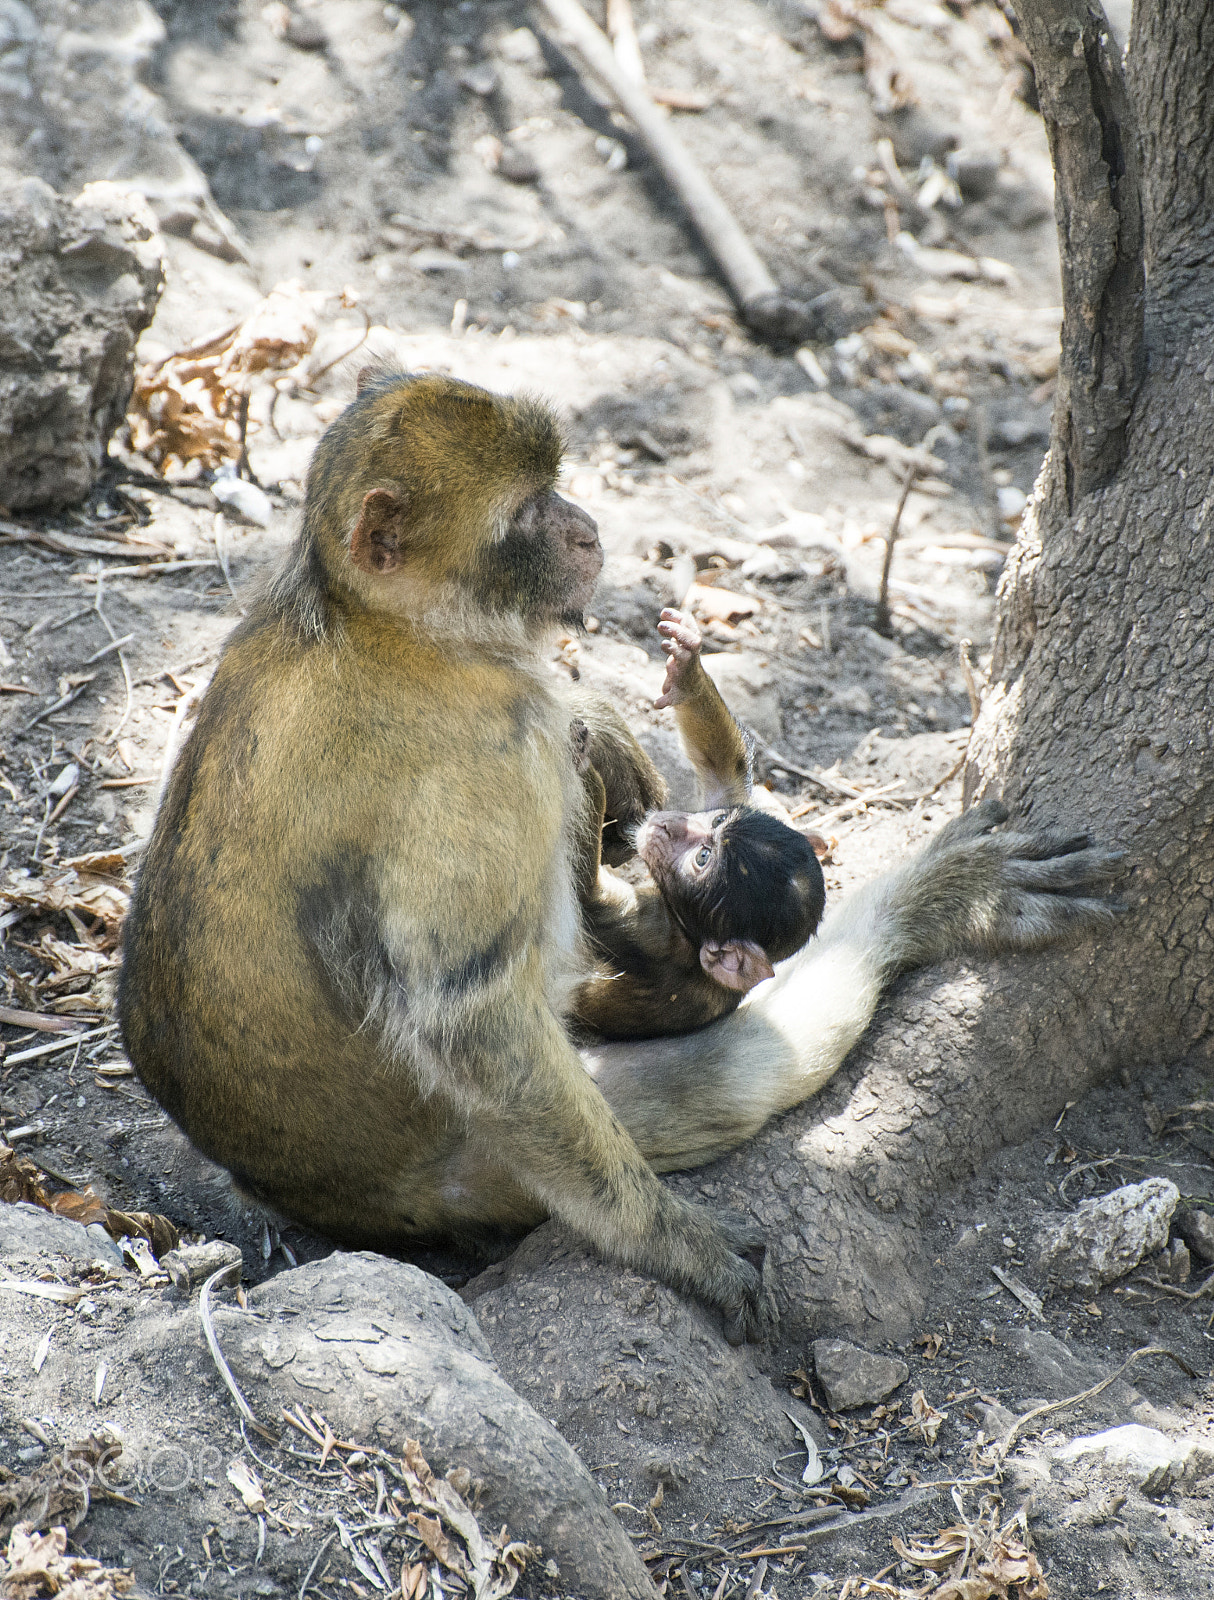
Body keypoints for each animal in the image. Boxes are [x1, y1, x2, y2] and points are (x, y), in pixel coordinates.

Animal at [569, 609, 826, 1039]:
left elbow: (588, 897)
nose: (673, 827)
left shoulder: (656, 936)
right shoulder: (740, 805)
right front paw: (687, 665)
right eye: (718, 820)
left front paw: (580, 754)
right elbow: (722, 764)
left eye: (703, 858)